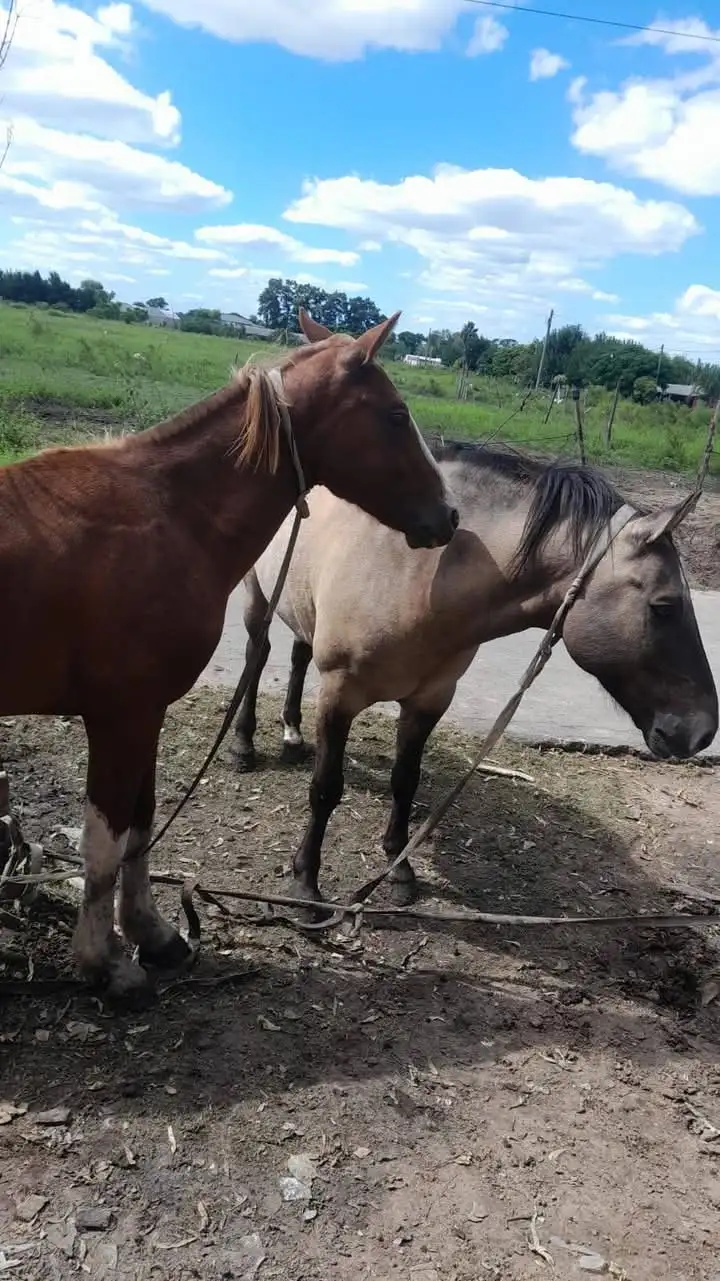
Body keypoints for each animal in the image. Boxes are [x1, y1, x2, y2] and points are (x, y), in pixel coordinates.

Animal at [0, 307, 460, 1000]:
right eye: (397, 414)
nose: (449, 516)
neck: (167, 515)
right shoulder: (120, 717)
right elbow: (104, 841)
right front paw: (106, 962)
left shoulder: (146, 715)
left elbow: (140, 824)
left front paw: (153, 933)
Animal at [234, 438, 718, 913]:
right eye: (664, 606)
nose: (701, 732)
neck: (418, 574)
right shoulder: (340, 694)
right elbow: (326, 789)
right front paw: (305, 884)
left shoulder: (430, 700)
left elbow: (405, 781)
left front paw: (399, 869)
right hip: (258, 593)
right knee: (257, 655)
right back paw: (243, 745)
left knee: (298, 654)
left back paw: (292, 734)